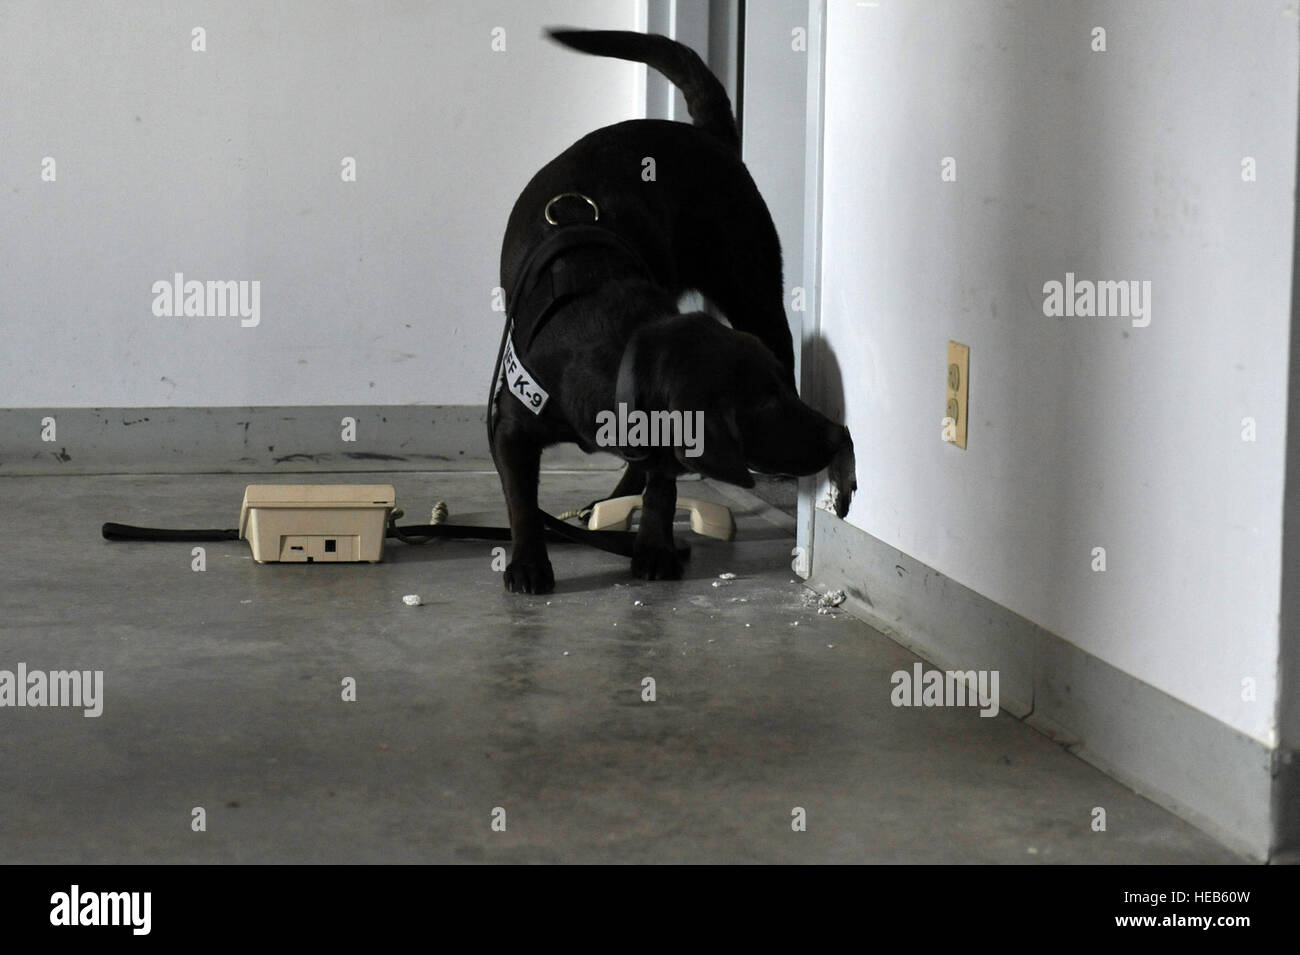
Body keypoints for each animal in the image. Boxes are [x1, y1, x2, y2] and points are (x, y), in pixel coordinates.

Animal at [488, 27, 852, 597]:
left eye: (779, 394)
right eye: (765, 402)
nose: (839, 436)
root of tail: (710, 138)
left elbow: (663, 487)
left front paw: (655, 549)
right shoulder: (511, 428)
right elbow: (522, 501)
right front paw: (528, 563)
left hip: (755, 295)